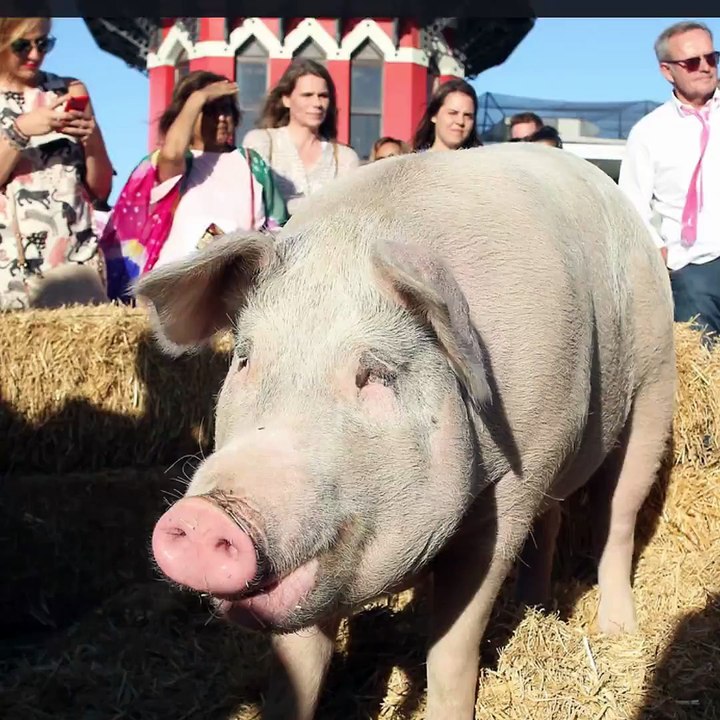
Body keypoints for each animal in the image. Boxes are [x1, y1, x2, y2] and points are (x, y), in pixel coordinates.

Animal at [135, 143, 675, 720]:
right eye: (244, 359)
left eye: (375, 373)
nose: (203, 516)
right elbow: (299, 660)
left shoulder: (514, 483)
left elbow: (453, 644)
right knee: (552, 521)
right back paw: (537, 606)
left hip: (654, 380)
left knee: (618, 514)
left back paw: (618, 629)